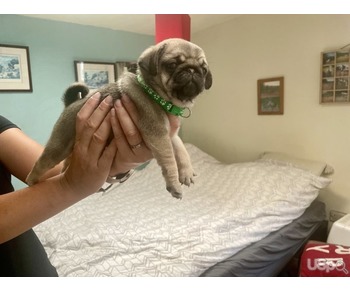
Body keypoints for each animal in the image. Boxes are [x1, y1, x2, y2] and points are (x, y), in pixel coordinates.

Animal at [26, 38, 212, 198]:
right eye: (172, 65)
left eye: (204, 70)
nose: (192, 70)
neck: (159, 97)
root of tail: (70, 104)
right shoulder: (158, 134)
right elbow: (169, 160)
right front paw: (174, 184)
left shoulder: (170, 134)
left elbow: (181, 149)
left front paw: (186, 171)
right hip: (59, 146)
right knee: (41, 164)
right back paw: (33, 182)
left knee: (66, 164)